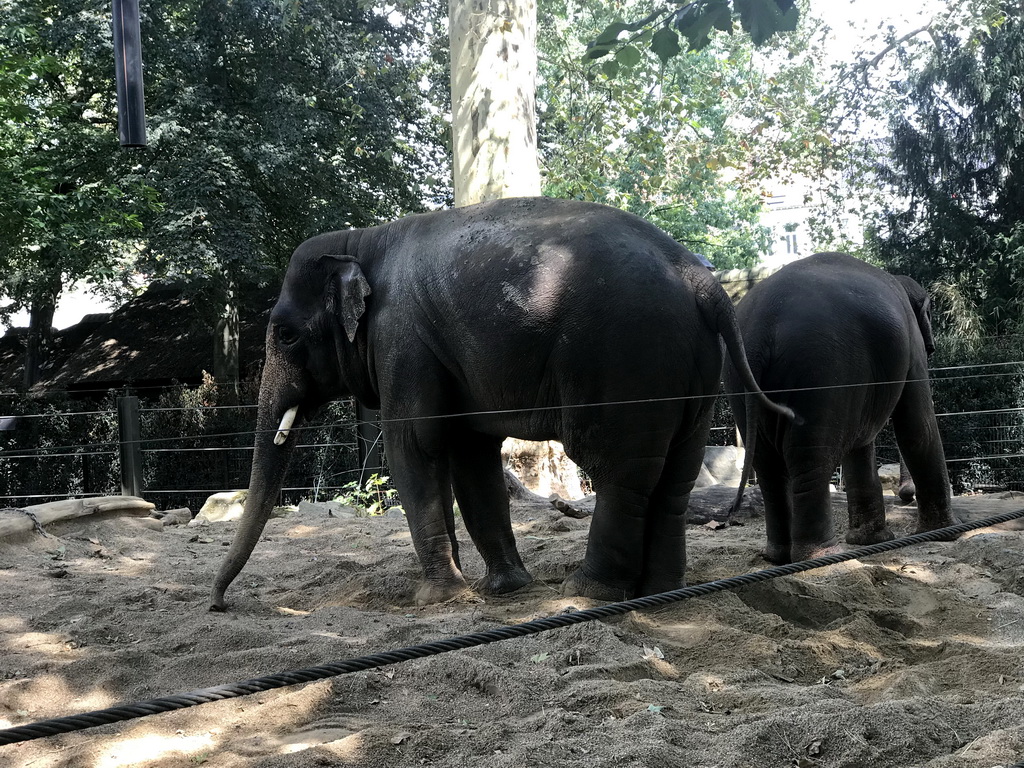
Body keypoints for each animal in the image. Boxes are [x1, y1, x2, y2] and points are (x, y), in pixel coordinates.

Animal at [207, 198, 790, 614]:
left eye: (284, 335)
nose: (218, 604)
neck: (363, 239)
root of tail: (699, 276)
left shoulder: (402, 340)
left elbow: (414, 445)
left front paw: (437, 599)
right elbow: (470, 456)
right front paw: (502, 588)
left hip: (624, 361)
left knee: (619, 472)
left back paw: (587, 590)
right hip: (694, 375)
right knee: (675, 477)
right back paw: (660, 592)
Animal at [724, 252, 954, 565]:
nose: (906, 495)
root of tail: (761, 327)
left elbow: (861, 443)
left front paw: (872, 540)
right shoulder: (912, 346)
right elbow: (918, 425)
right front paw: (946, 533)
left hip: (740, 380)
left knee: (767, 463)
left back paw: (778, 557)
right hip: (819, 368)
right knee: (810, 459)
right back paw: (822, 556)